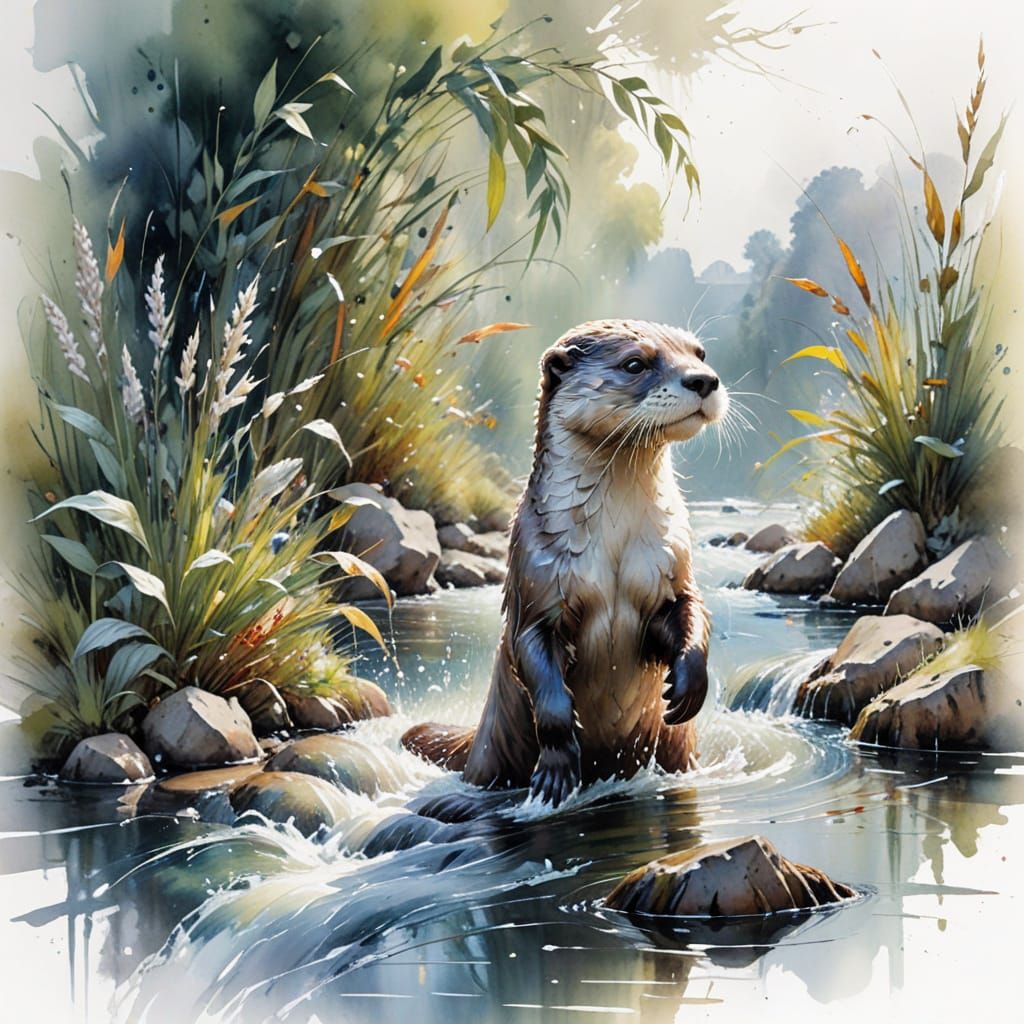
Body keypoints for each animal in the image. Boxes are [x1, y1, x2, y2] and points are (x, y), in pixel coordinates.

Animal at [402, 319, 728, 805]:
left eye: (700, 354)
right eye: (635, 363)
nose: (704, 380)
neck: (615, 548)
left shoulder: (674, 565)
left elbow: (691, 613)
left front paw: (689, 684)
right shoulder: (534, 585)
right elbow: (534, 660)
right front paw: (557, 767)